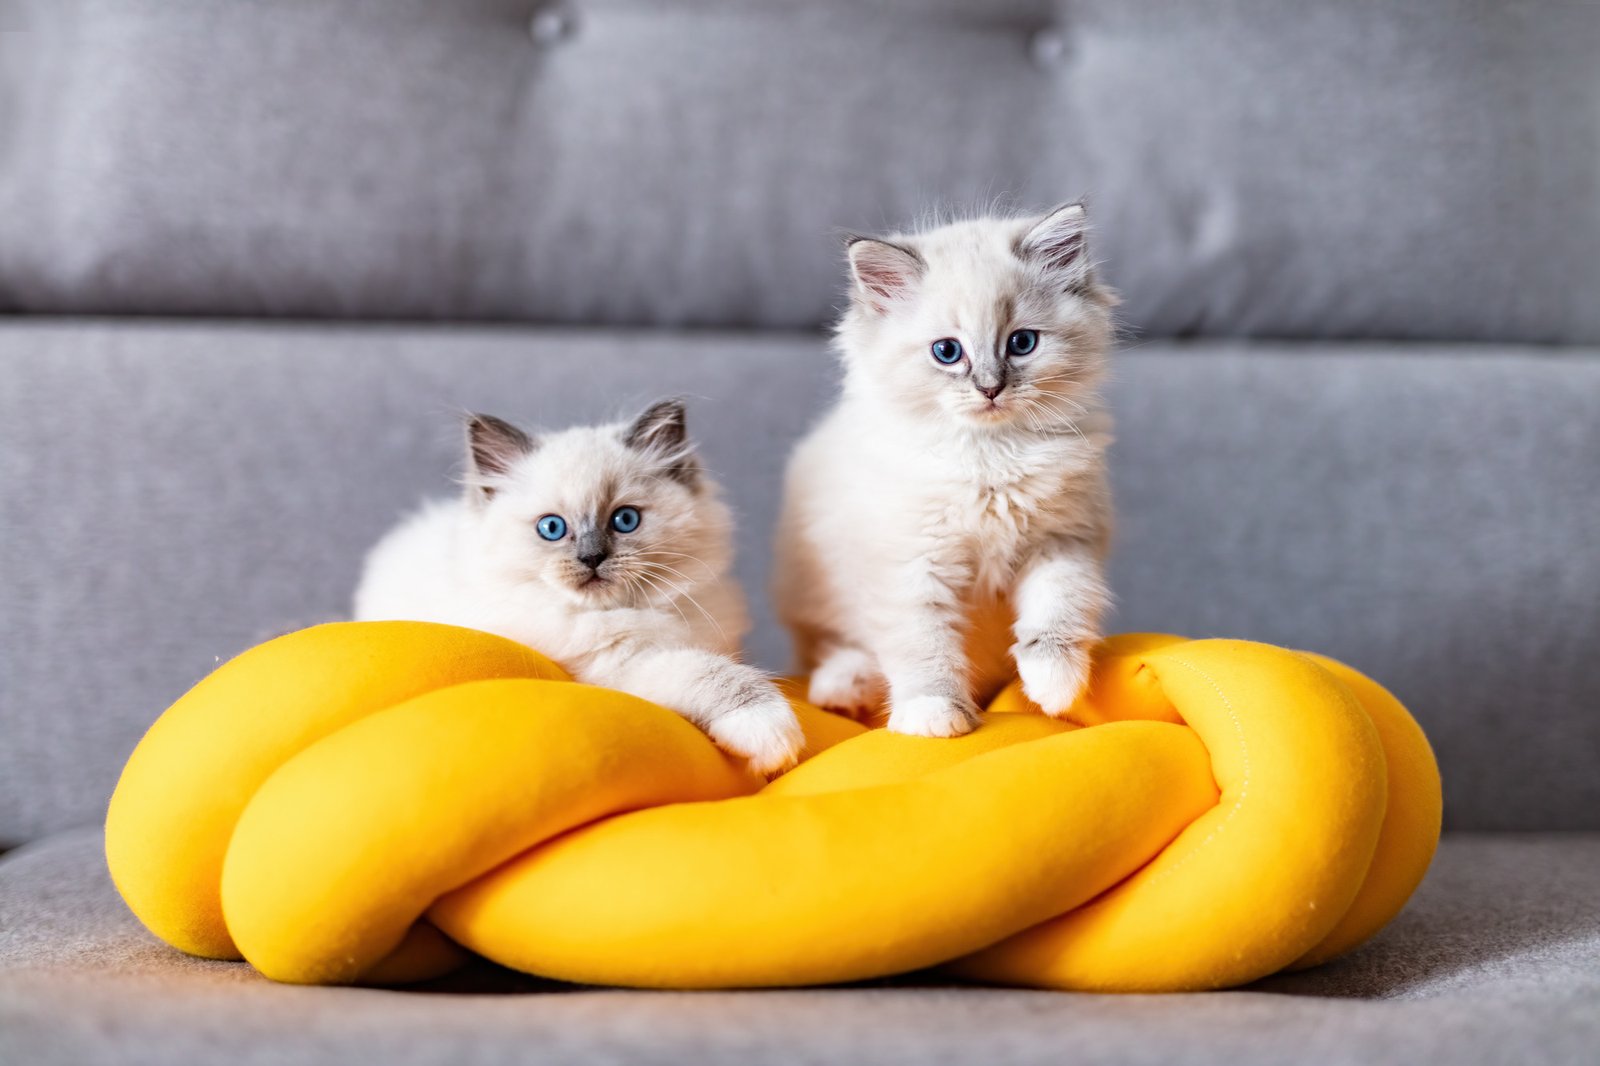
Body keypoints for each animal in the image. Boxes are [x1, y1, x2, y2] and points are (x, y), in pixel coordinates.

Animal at [350, 398, 800, 771]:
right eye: (552, 528)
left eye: (625, 520)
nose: (592, 558)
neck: (633, 612)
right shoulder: (620, 666)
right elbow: (713, 674)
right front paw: (772, 733)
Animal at [771, 204, 1113, 739]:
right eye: (947, 352)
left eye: (1021, 343)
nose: (990, 388)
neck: (990, 456)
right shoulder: (912, 563)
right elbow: (922, 644)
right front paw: (933, 714)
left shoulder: (1063, 540)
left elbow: (1058, 609)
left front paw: (1054, 685)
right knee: (834, 650)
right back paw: (844, 686)